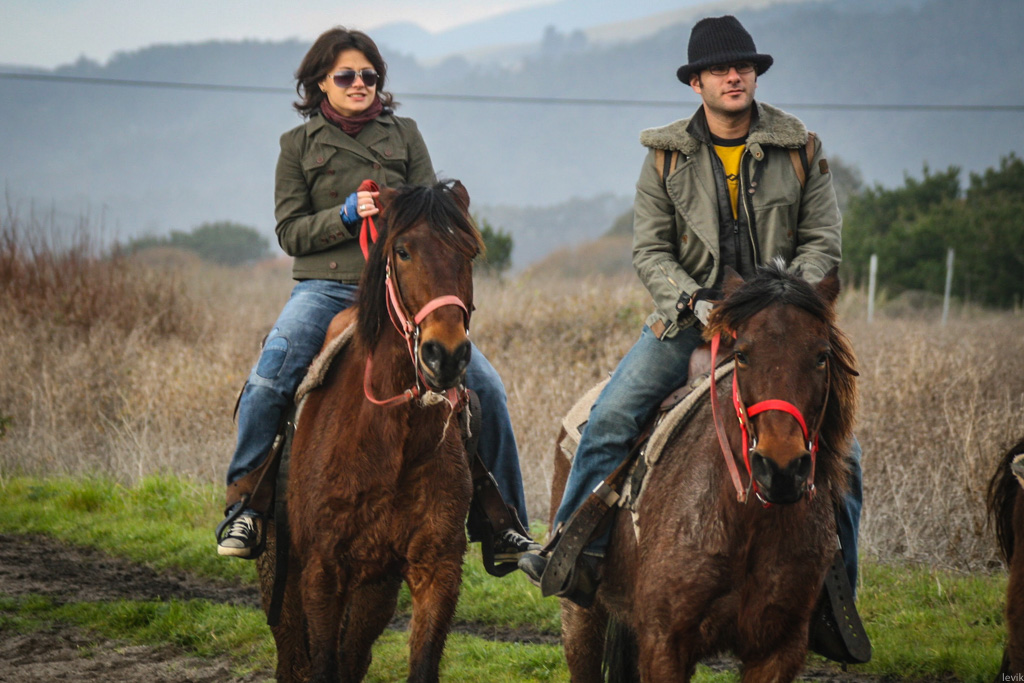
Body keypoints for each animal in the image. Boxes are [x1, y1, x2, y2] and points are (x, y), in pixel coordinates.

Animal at [257, 180, 484, 683]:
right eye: (403, 250)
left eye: (470, 252)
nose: (446, 355)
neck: (393, 440)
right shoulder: (322, 574)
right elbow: (320, 665)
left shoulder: (436, 569)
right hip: (281, 576)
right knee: (293, 657)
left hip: (374, 588)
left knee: (353, 655)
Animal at [552, 262, 858, 682]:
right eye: (742, 355)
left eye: (822, 356)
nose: (780, 468)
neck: (746, 522)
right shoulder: (664, 643)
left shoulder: (779, 649)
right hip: (581, 615)